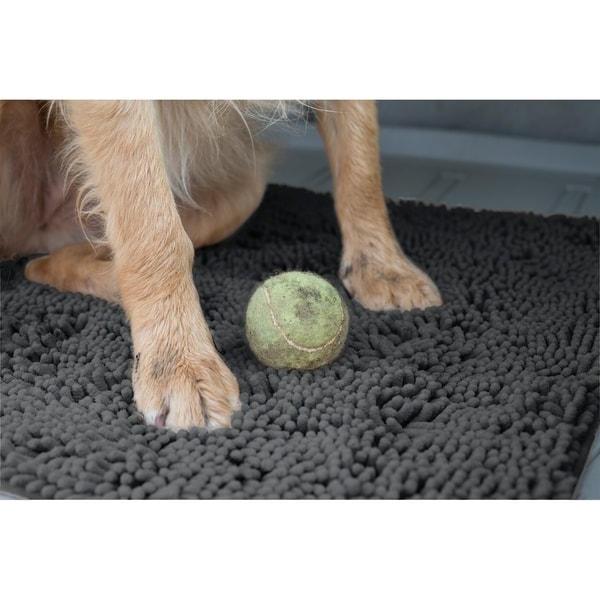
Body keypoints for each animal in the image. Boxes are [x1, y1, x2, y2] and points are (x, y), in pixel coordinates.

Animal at [0, 102, 440, 432]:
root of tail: (44, 230)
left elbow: (362, 164)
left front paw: (383, 265)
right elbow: (152, 226)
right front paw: (179, 360)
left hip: (246, 182)